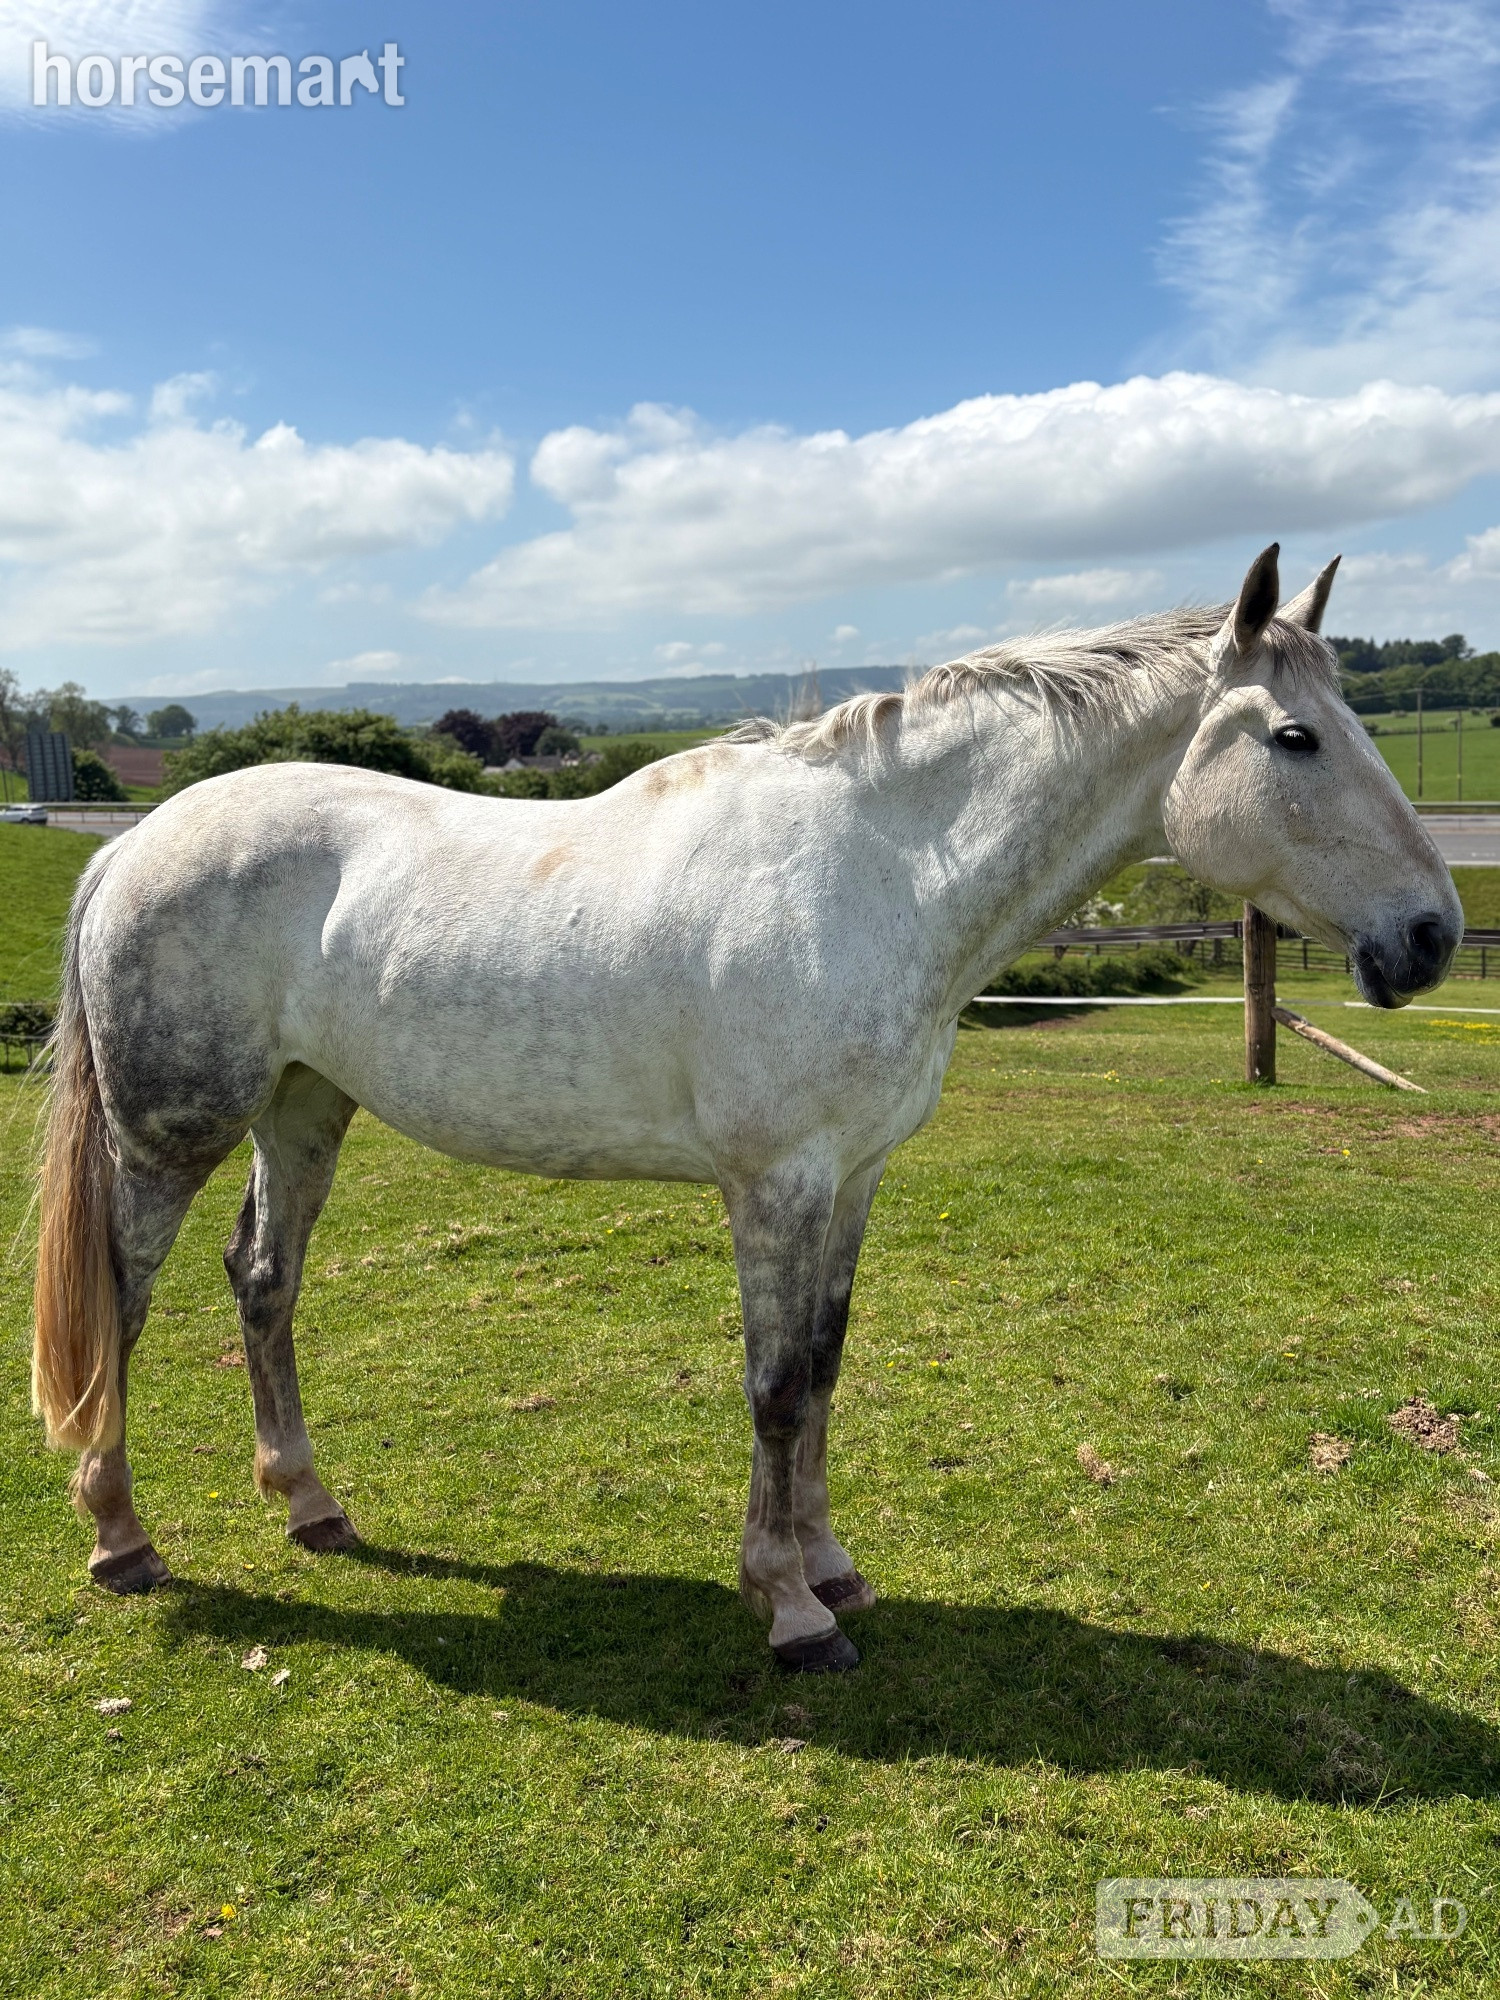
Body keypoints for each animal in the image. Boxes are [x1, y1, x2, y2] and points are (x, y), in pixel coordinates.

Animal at [32, 545, 1460, 1672]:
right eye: (1294, 737)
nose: (1431, 935)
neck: (881, 870)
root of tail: (133, 840)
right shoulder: (775, 1182)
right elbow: (774, 1385)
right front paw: (788, 1608)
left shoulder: (855, 1175)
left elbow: (824, 1368)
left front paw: (831, 1565)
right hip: (168, 1137)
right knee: (123, 1301)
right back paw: (122, 1536)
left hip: (303, 1110)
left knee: (263, 1282)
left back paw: (311, 1505)